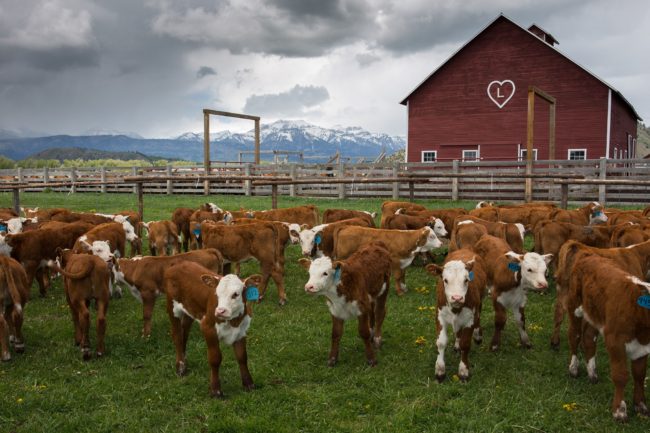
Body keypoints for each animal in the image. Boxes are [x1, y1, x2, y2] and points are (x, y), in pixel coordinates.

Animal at [164, 261, 262, 397]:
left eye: (235, 294)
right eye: (217, 294)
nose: (220, 311)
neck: (233, 321)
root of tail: (178, 263)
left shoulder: (241, 331)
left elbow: (242, 357)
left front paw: (248, 384)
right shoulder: (208, 328)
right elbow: (215, 358)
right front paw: (215, 390)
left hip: (190, 309)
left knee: (185, 331)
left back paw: (184, 358)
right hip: (172, 306)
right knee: (177, 335)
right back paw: (180, 366)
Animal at [425, 249, 488, 382]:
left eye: (466, 280)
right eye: (445, 280)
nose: (457, 298)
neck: (455, 308)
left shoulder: (470, 319)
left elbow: (466, 344)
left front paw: (463, 370)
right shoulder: (440, 316)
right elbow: (441, 342)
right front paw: (440, 370)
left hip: (481, 297)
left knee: (479, 315)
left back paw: (477, 335)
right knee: (458, 330)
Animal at [564, 254, 650, 421]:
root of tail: (589, 256)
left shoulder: (643, 347)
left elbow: (639, 375)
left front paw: (640, 406)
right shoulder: (615, 341)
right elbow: (620, 375)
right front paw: (619, 411)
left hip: (595, 314)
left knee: (589, 338)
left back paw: (592, 373)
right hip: (574, 306)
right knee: (574, 335)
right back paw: (574, 368)